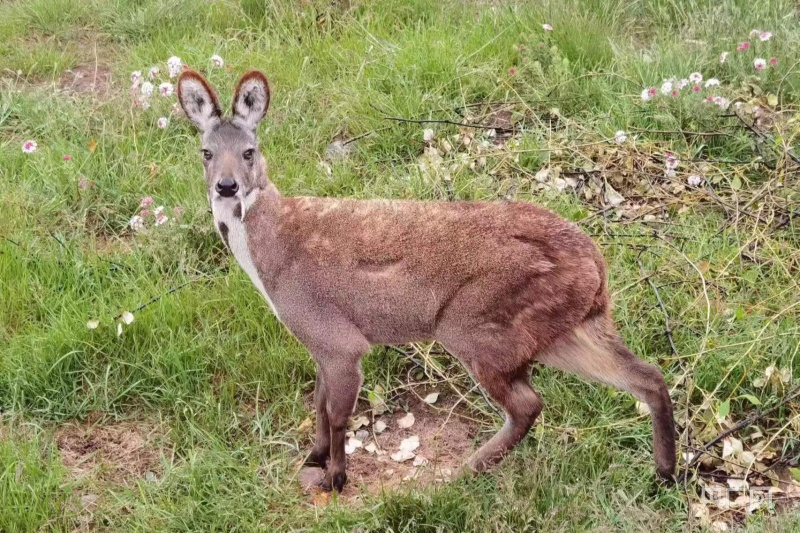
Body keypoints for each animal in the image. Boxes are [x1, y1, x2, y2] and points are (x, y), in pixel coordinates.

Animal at [177, 68, 676, 492]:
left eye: (249, 151)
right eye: (205, 152)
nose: (226, 186)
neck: (273, 256)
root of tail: (597, 264)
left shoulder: (336, 338)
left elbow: (337, 413)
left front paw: (336, 479)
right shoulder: (318, 342)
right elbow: (317, 403)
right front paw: (314, 458)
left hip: (478, 323)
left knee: (529, 404)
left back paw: (464, 471)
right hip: (560, 328)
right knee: (647, 376)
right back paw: (665, 472)